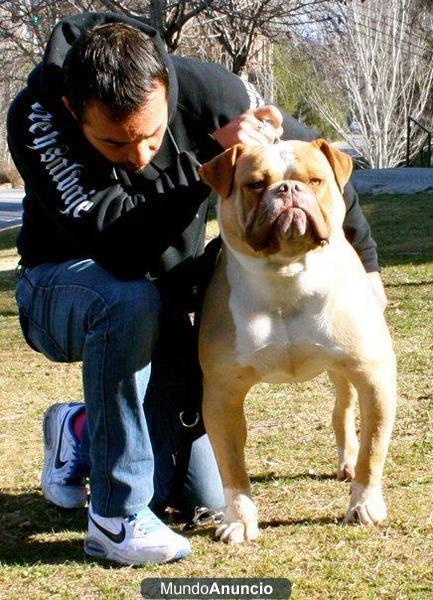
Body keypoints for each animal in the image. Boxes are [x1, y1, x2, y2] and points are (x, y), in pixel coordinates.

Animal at [197, 141, 396, 544]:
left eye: (315, 180)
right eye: (256, 184)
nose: (288, 189)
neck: (286, 275)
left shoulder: (374, 378)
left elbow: (373, 448)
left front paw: (364, 505)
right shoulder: (223, 394)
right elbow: (232, 467)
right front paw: (239, 520)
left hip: (344, 372)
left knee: (342, 413)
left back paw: (347, 463)